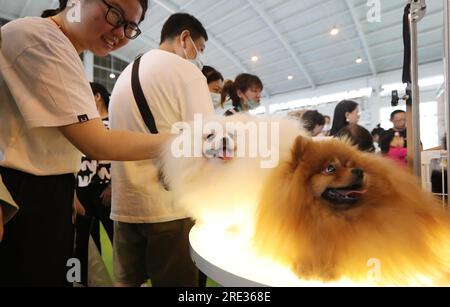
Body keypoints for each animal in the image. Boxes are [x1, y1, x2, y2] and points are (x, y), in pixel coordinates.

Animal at [253, 137, 450, 286]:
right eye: (330, 168)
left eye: (351, 165)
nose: (359, 171)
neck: (330, 218)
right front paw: (304, 268)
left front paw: (329, 271)